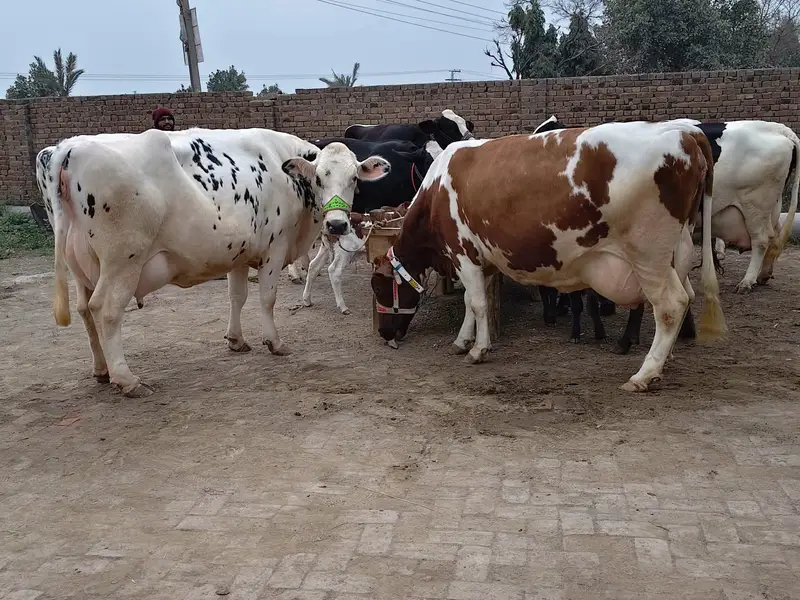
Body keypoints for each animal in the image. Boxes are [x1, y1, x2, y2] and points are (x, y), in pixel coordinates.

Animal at [36, 127, 390, 397]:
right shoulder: (274, 249)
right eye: (318, 178)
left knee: (84, 310)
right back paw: (127, 379)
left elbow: (237, 296)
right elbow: (266, 298)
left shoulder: (239, 252)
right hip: (123, 261)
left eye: (354, 179)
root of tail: (68, 147)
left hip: (80, 266)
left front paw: (236, 340)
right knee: (105, 311)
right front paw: (274, 342)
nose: (337, 225)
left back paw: (101, 370)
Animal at [297, 137, 434, 314]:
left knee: (314, 266)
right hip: (344, 252)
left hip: (326, 247)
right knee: (333, 271)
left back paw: (307, 299)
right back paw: (342, 306)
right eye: (427, 161)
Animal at [370, 120, 727, 392]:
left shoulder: (462, 253)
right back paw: (663, 362)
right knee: (686, 294)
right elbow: (472, 303)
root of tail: (682, 132)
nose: (384, 334)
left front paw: (478, 349)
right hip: (677, 250)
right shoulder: (480, 259)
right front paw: (462, 340)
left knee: (670, 305)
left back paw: (644, 374)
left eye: (378, 288)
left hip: (648, 252)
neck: (436, 188)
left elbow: (477, 303)